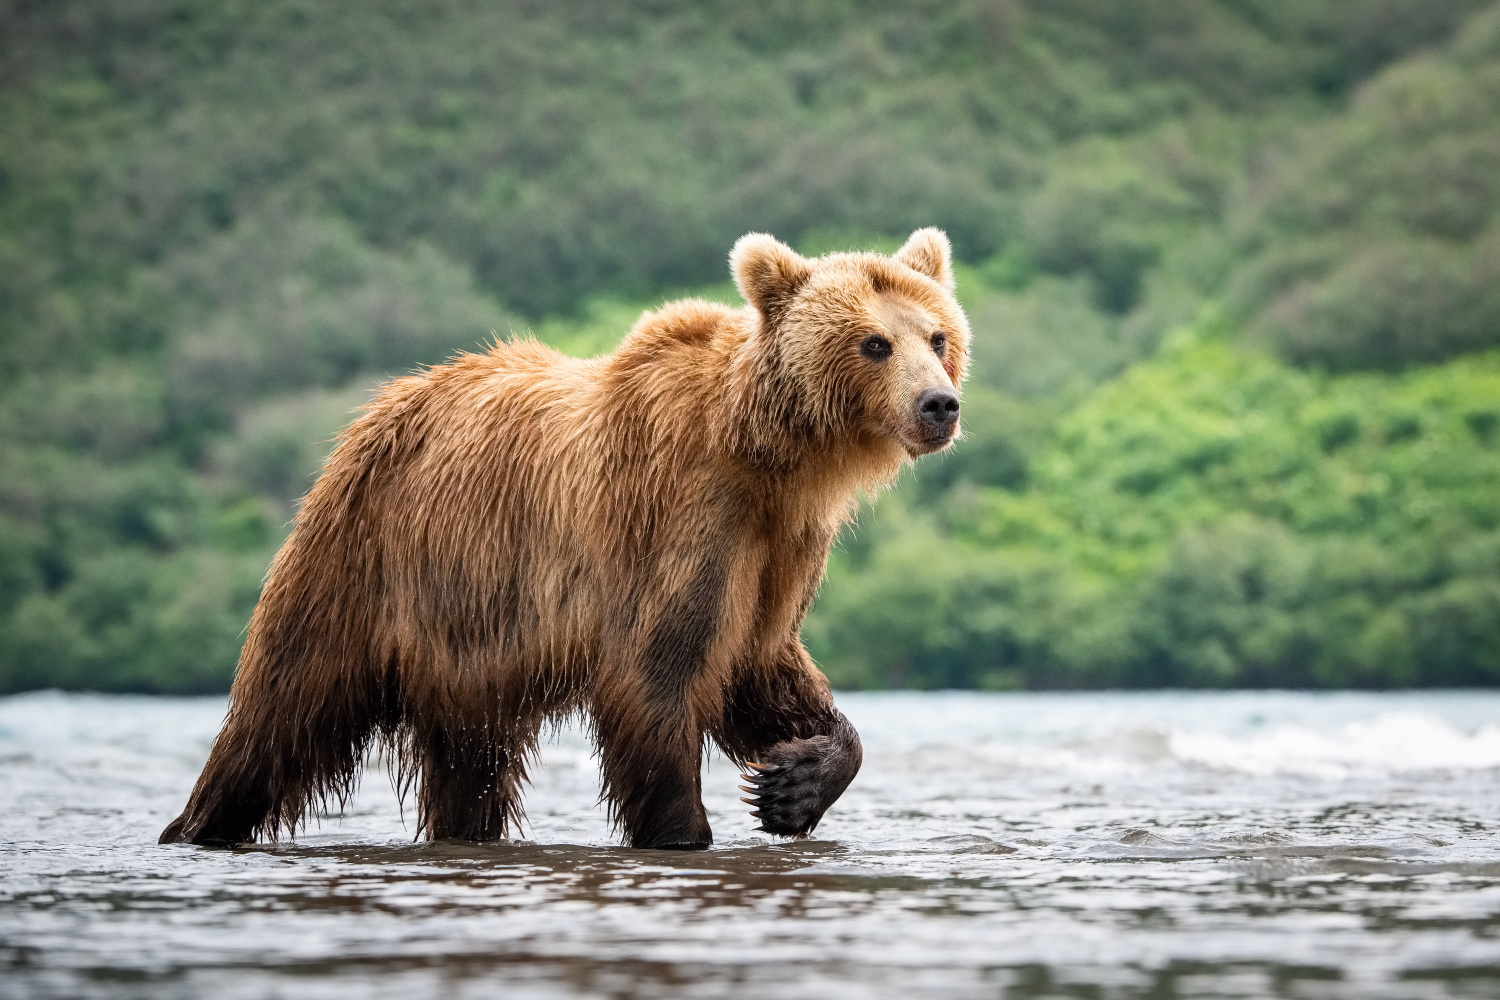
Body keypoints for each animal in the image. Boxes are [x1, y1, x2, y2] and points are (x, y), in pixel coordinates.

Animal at [158, 229, 966, 851]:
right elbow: (657, 679)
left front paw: (791, 783)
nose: (940, 403)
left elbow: (759, 663)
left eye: (937, 335)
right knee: (279, 713)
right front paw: (684, 830)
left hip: (465, 647)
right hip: (362, 561)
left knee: (469, 767)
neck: (771, 457)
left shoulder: (781, 546)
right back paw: (197, 825)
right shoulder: (676, 518)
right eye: (873, 342)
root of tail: (384, 404)